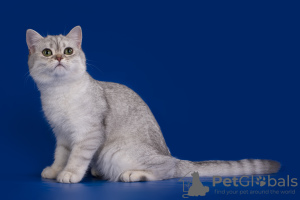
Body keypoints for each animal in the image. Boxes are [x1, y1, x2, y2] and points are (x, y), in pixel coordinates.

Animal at [25, 26, 282, 183]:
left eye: (68, 50)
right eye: (47, 52)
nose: (59, 58)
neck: (59, 92)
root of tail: (174, 157)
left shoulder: (88, 134)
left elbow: (76, 158)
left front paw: (69, 174)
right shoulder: (62, 135)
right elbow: (60, 155)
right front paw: (55, 171)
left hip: (114, 151)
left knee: (167, 170)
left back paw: (133, 174)